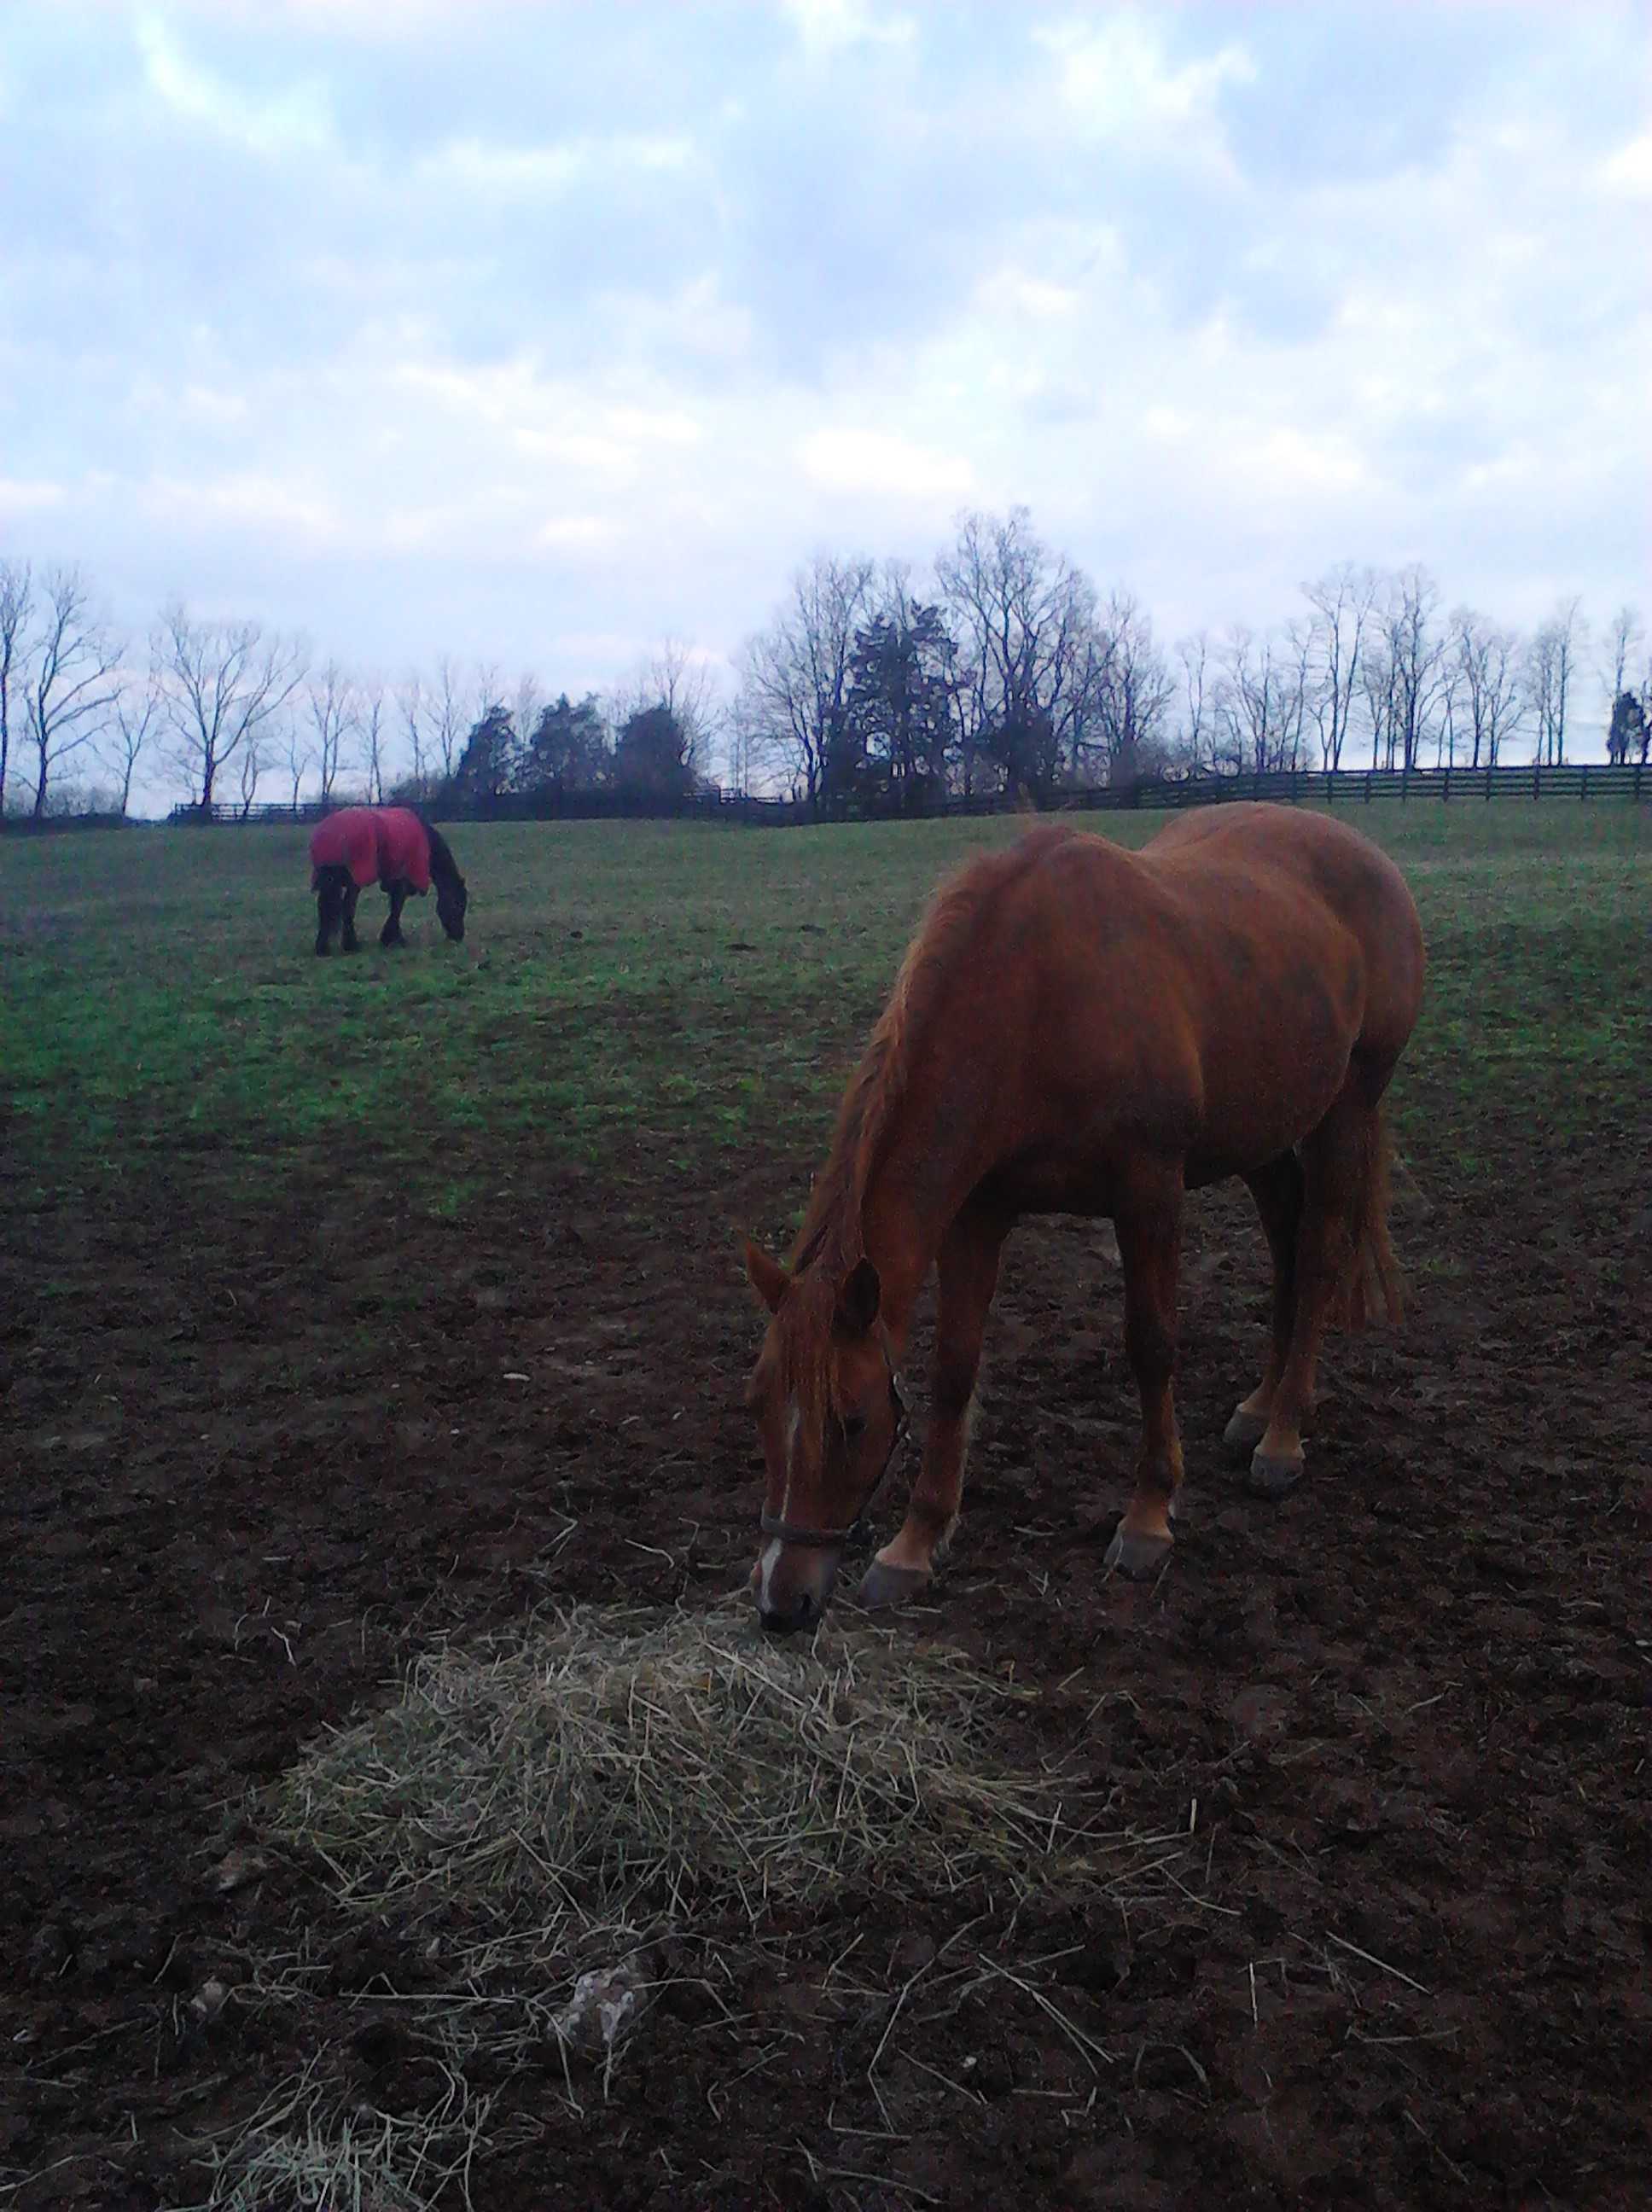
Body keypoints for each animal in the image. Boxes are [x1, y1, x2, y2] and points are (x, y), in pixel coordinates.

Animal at [309, 809, 468, 955]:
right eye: (458, 904)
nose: (458, 936)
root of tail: (330, 831)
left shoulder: (394, 880)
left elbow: (395, 905)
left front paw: (391, 937)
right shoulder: (404, 879)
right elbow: (397, 906)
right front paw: (393, 939)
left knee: (325, 907)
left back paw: (323, 948)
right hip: (354, 881)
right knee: (348, 907)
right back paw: (351, 945)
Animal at [742, 805, 1424, 1637]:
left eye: (853, 1421)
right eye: (760, 1409)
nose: (782, 1601)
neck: (1037, 998)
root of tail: (1368, 856)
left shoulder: (1149, 1193)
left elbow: (1152, 1348)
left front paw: (1149, 1516)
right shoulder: (977, 1214)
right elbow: (954, 1369)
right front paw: (915, 1544)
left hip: (1347, 1107)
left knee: (1320, 1252)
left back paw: (1283, 1437)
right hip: (1262, 1132)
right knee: (1286, 1245)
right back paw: (1258, 1407)